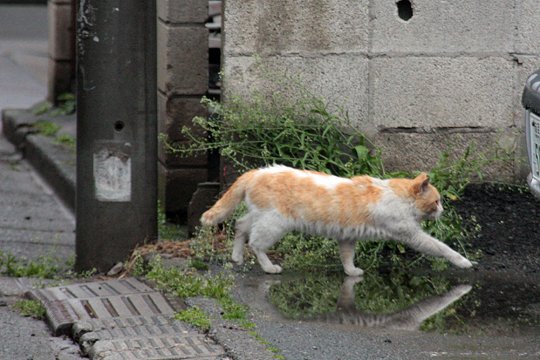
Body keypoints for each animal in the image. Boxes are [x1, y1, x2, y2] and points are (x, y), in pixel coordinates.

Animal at [201, 166, 472, 276]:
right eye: (437, 201)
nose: (442, 210)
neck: (398, 195)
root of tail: (256, 172)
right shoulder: (411, 235)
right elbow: (441, 247)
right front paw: (463, 261)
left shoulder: (347, 236)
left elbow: (347, 256)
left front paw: (351, 272)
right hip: (274, 223)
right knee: (256, 244)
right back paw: (268, 267)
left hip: (261, 216)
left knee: (239, 226)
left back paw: (236, 257)